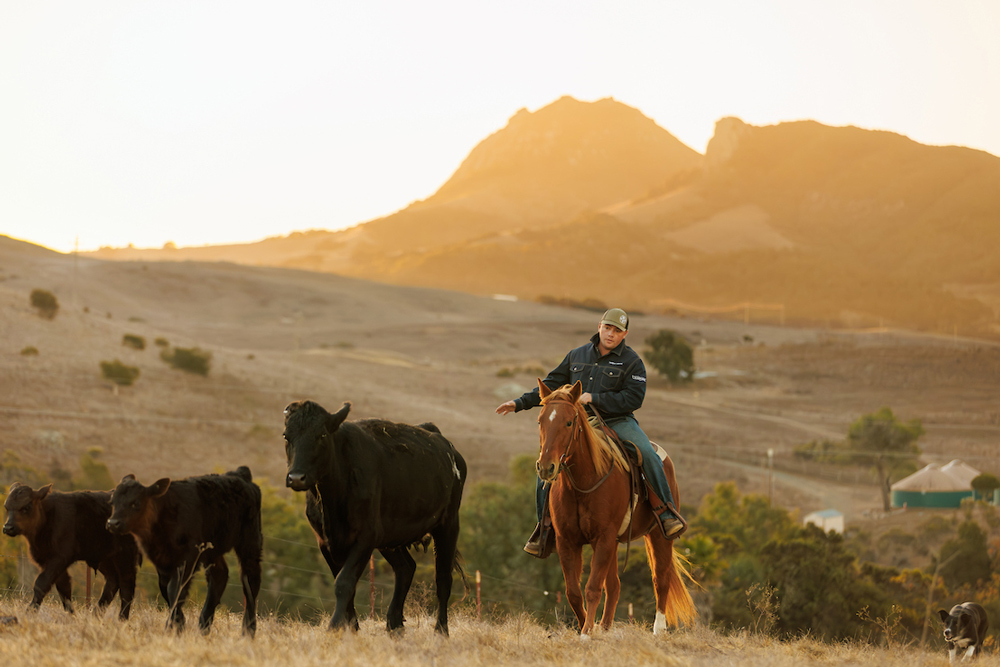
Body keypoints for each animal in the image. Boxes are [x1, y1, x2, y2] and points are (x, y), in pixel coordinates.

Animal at [2, 480, 139, 620]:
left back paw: (122, 618)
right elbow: (64, 588)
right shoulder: (49, 561)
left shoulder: (59, 559)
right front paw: (72, 615)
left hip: (124, 557)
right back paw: (96, 614)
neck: (48, 516)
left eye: (26, 507)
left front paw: (30, 611)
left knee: (126, 585)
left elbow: (42, 583)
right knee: (113, 582)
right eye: (7, 507)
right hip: (105, 559)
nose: (8, 527)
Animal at [105, 468, 262, 640]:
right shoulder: (163, 563)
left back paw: (248, 631)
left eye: (135, 503)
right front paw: (179, 625)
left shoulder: (188, 558)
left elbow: (175, 590)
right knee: (219, 576)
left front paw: (171, 628)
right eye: (112, 502)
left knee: (251, 580)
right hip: (212, 551)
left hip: (250, 542)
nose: (113, 523)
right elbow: (167, 590)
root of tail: (240, 474)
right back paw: (204, 626)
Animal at [284, 402, 466, 636]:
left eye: (321, 434)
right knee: (406, 568)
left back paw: (441, 631)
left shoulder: (366, 537)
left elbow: (344, 582)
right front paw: (351, 628)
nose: (296, 477)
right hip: (392, 534)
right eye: (286, 436)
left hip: (448, 524)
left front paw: (334, 627)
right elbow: (345, 583)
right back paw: (394, 624)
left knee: (443, 578)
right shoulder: (325, 542)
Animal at [536, 380, 692, 636]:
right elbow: (574, 592)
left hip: (658, 536)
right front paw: (586, 627)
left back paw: (658, 629)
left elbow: (592, 588)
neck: (583, 483)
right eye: (540, 420)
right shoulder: (567, 541)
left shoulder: (603, 537)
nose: (546, 467)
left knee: (660, 579)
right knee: (615, 585)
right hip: (615, 543)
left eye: (569, 422)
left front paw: (586, 634)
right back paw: (605, 627)